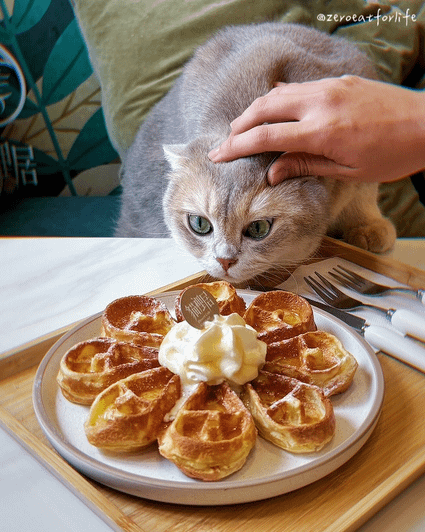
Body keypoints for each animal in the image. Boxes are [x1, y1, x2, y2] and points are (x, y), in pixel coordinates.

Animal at [115, 21, 394, 282]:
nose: (224, 260)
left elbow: (363, 196)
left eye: (259, 228)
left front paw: (368, 227)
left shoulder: (360, 154)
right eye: (199, 224)